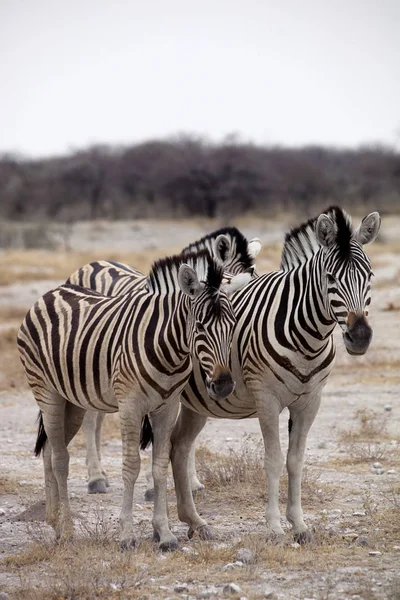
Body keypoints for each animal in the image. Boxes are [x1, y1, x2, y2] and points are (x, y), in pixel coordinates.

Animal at [19, 248, 250, 548]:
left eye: (233, 325)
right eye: (199, 326)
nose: (223, 385)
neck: (169, 350)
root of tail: (50, 293)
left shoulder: (167, 407)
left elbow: (160, 465)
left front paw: (165, 534)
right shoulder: (129, 405)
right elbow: (131, 465)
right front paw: (127, 535)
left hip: (73, 401)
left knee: (48, 450)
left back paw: (54, 522)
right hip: (47, 393)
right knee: (60, 458)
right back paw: (67, 529)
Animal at [65, 227, 262, 494]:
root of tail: (92, 263)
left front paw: (192, 482)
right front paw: (152, 483)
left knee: (97, 417)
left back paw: (101, 474)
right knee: (89, 418)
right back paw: (95, 478)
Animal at [141, 207, 382, 544]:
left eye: (369, 276)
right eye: (331, 277)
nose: (359, 337)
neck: (307, 334)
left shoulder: (311, 401)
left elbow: (295, 461)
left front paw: (300, 525)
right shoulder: (266, 399)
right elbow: (274, 460)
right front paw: (276, 528)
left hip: (197, 402)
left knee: (179, 446)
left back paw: (195, 522)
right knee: (161, 450)